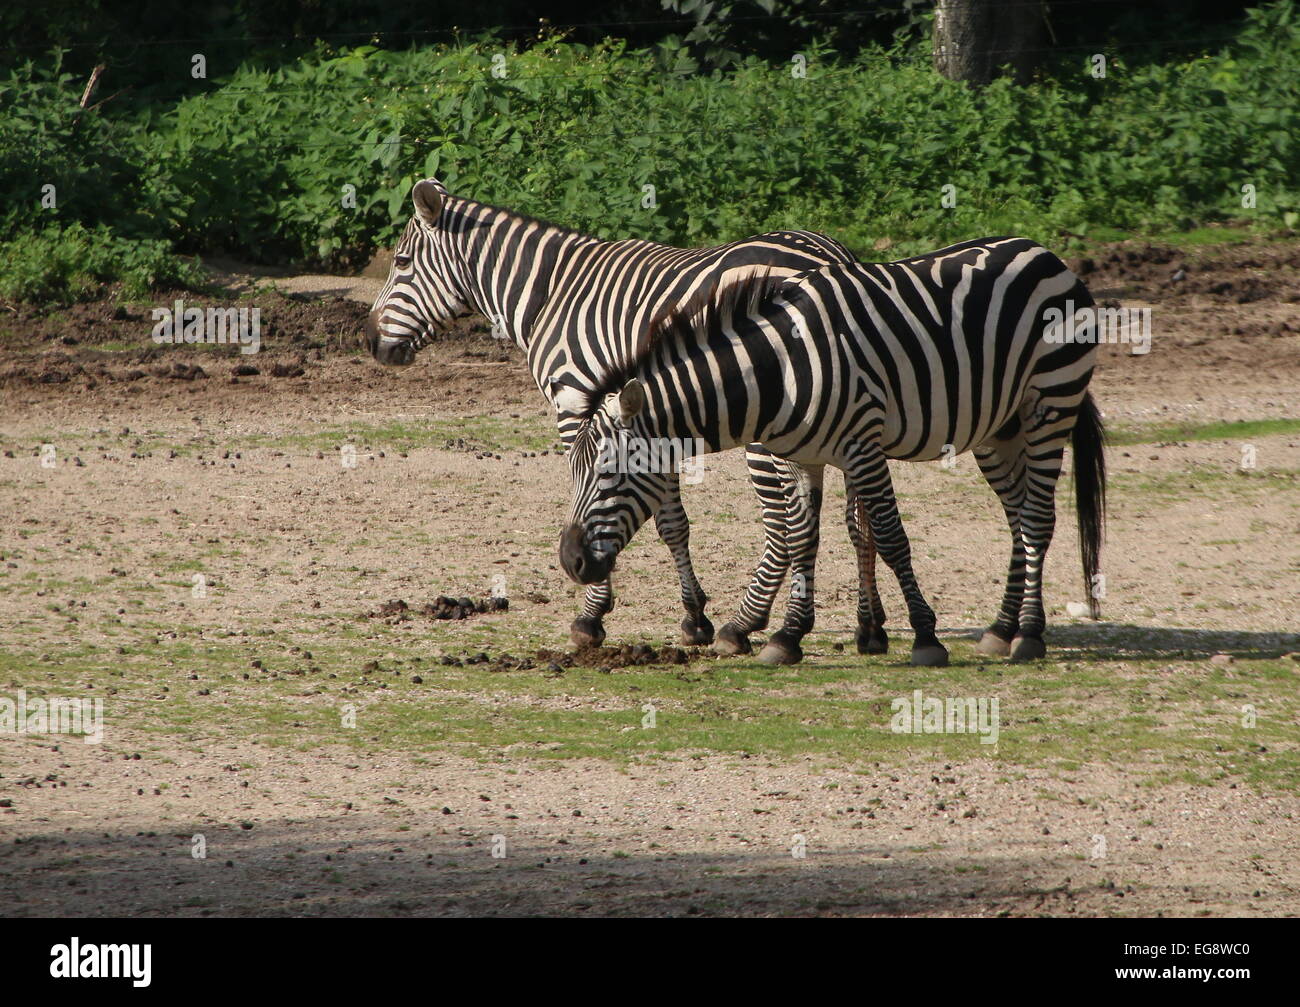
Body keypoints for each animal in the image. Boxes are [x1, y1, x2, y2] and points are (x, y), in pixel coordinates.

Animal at [366, 177, 888, 653]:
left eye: (401, 263)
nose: (369, 343)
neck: (550, 294)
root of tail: (832, 254)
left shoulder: (577, 406)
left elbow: (598, 497)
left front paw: (592, 613)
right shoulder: (655, 415)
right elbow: (671, 520)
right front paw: (694, 616)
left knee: (785, 521)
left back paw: (750, 624)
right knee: (856, 517)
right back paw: (869, 627)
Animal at [558, 236, 1108, 666]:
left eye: (611, 472)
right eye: (575, 471)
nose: (571, 561)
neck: (776, 372)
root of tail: (1043, 252)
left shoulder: (862, 444)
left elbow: (889, 537)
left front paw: (925, 636)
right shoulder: (801, 455)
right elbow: (802, 537)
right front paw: (787, 636)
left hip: (1051, 404)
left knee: (1037, 519)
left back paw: (1029, 634)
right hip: (999, 427)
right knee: (1017, 519)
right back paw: (1001, 628)